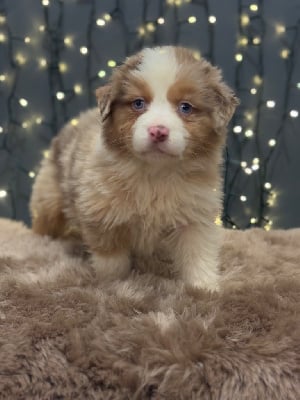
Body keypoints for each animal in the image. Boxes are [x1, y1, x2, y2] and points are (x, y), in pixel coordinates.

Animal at [29, 46, 238, 290]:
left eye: (185, 107)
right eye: (138, 103)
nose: (158, 131)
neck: (155, 173)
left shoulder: (197, 215)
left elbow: (198, 254)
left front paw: (204, 289)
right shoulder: (102, 216)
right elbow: (112, 261)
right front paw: (115, 285)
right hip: (48, 199)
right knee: (43, 223)